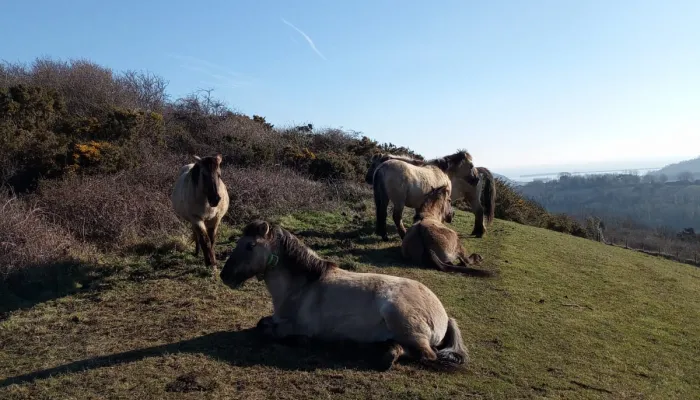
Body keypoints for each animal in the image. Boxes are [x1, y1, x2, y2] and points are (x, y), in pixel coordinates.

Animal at [220, 220, 470, 371]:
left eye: (250, 246)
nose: (224, 275)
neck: (301, 286)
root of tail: (444, 315)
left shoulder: (297, 326)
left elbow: (270, 330)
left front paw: (301, 340)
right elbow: (261, 323)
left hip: (398, 314)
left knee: (427, 355)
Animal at [366, 152, 495, 238]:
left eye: (372, 164)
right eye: (470, 165)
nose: (476, 180)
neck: (443, 171)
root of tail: (382, 169)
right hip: (398, 201)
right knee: (395, 217)